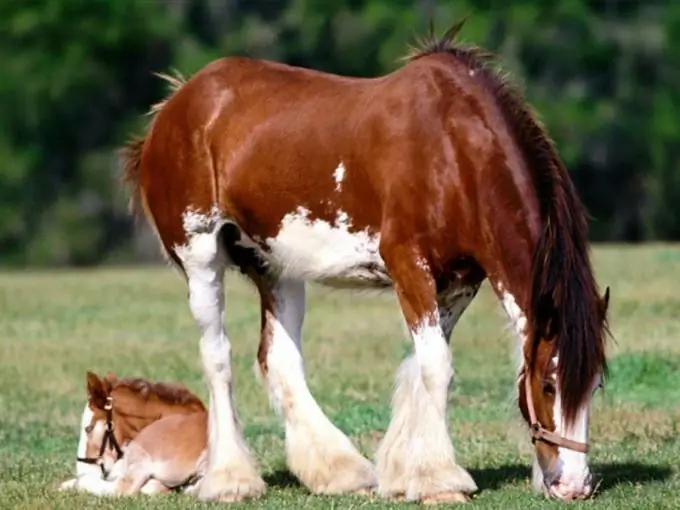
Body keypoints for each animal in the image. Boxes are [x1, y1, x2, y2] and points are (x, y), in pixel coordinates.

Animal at [118, 18, 612, 502]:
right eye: (548, 384)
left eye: (596, 385)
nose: (574, 485)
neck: (452, 151)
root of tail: (174, 105)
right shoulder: (409, 265)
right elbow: (437, 367)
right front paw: (440, 481)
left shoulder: (459, 283)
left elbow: (421, 366)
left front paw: (404, 472)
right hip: (200, 256)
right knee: (217, 356)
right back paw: (231, 480)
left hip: (276, 267)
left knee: (279, 358)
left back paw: (339, 471)